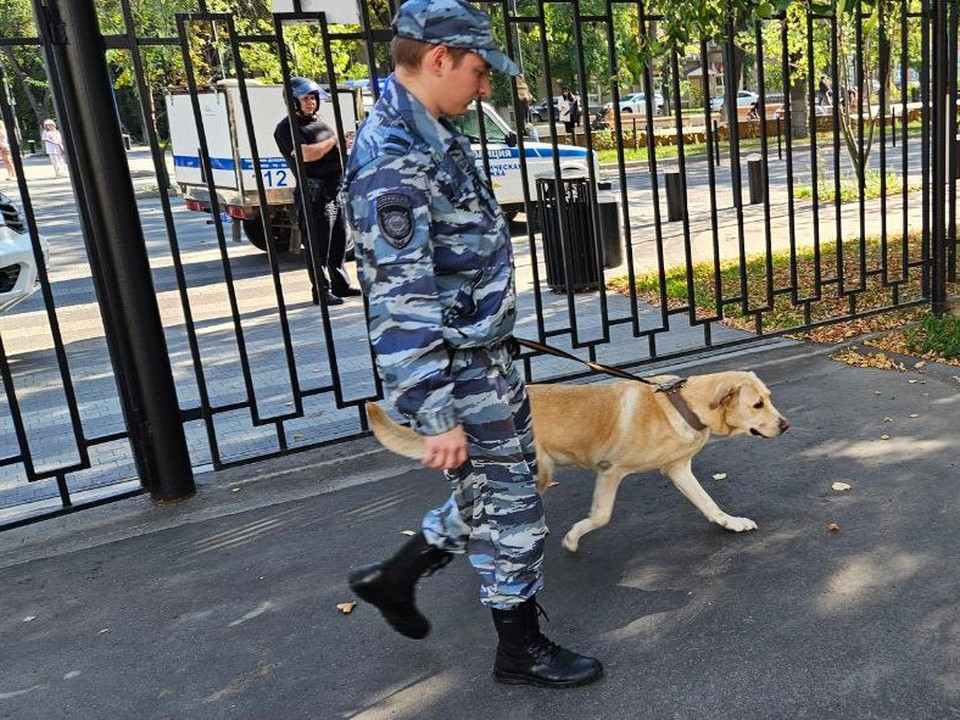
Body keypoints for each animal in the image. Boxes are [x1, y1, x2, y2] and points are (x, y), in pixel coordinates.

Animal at [364, 372, 792, 552]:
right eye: (757, 404)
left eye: (770, 398)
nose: (786, 426)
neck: (680, 402)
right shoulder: (611, 471)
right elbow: (600, 517)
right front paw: (574, 537)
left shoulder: (678, 469)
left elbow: (709, 503)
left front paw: (731, 522)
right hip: (533, 470)